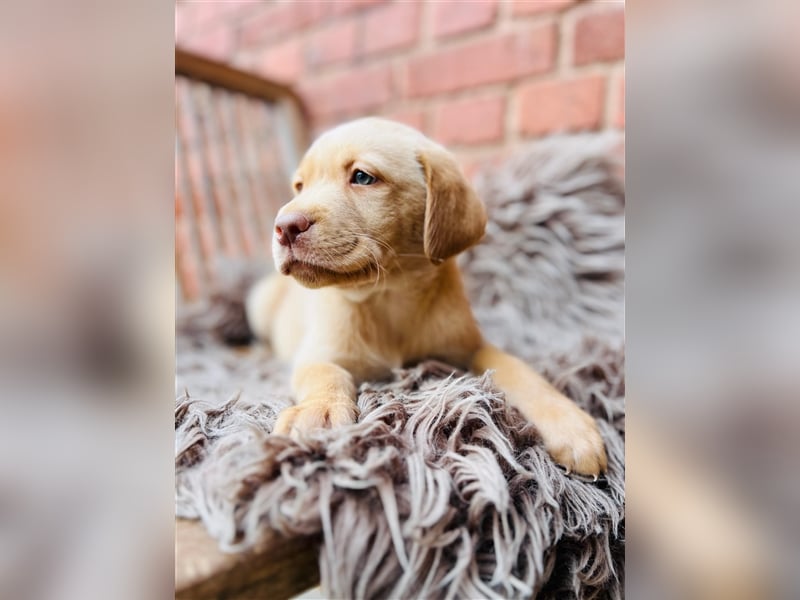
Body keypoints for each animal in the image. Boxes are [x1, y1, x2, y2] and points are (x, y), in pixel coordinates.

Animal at [245, 116, 608, 474]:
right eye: (299, 187)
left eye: (362, 177)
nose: (284, 227)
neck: (388, 295)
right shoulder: (318, 352)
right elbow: (324, 374)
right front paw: (316, 413)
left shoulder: (471, 347)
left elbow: (518, 369)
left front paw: (570, 424)